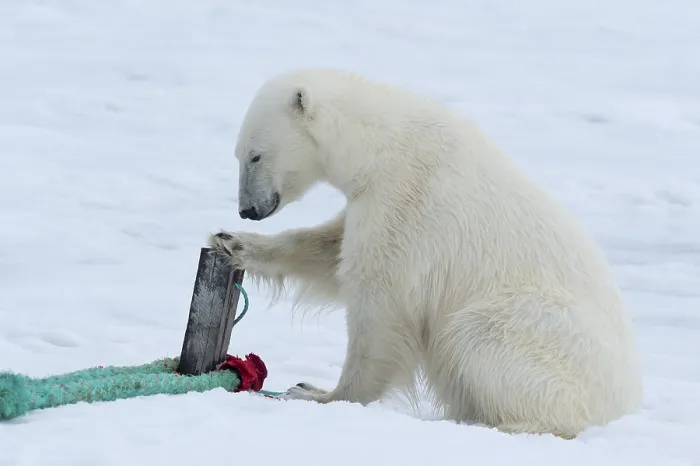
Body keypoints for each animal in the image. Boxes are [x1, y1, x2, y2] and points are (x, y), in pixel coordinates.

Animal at [208, 67, 643, 438]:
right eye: (239, 155)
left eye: (255, 155)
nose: (248, 209)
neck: (383, 145)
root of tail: (622, 405)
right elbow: (330, 251)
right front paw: (232, 242)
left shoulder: (406, 200)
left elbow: (379, 301)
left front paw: (317, 393)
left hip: (543, 333)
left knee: (478, 334)